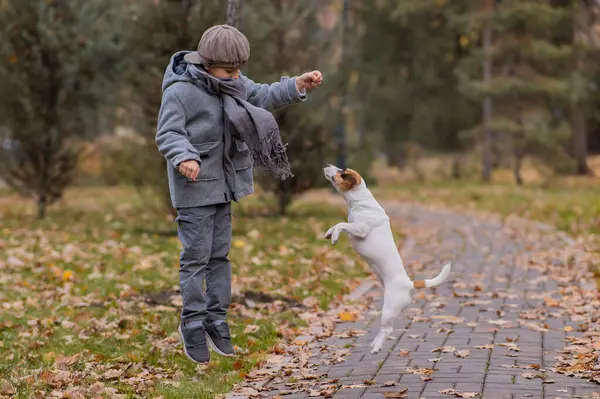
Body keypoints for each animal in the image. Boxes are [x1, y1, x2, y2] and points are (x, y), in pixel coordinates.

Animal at [324, 165, 450, 354]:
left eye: (341, 172)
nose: (327, 166)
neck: (360, 202)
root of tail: (409, 284)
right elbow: (338, 225)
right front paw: (329, 233)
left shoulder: (360, 229)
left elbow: (342, 224)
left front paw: (335, 236)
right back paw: (374, 343)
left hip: (389, 308)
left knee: (387, 329)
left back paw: (376, 347)